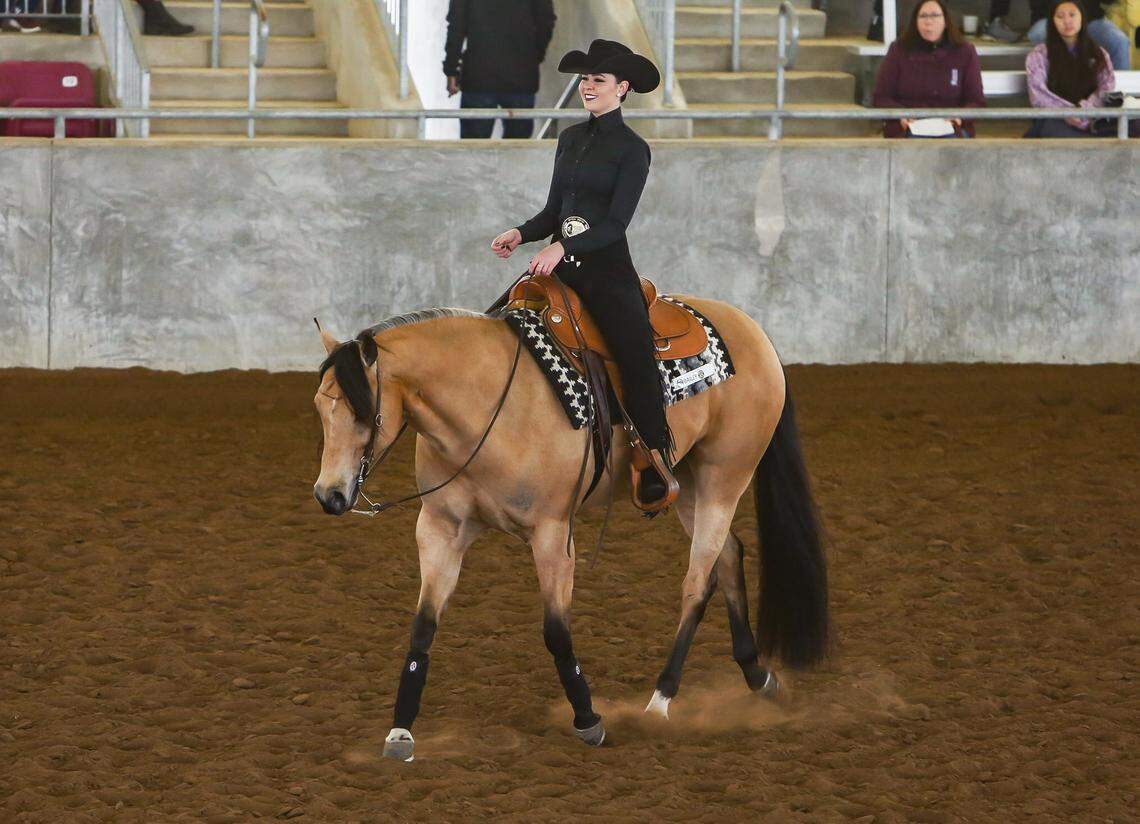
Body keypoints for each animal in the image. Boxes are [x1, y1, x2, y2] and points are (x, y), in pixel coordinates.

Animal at [312, 297, 828, 761]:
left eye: (362, 411)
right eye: (321, 407)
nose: (329, 496)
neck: (490, 408)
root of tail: (754, 331)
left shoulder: (553, 534)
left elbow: (556, 632)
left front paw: (589, 720)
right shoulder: (441, 528)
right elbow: (423, 626)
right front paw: (400, 731)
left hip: (725, 478)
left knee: (698, 582)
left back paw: (660, 701)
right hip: (691, 483)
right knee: (729, 557)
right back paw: (758, 675)